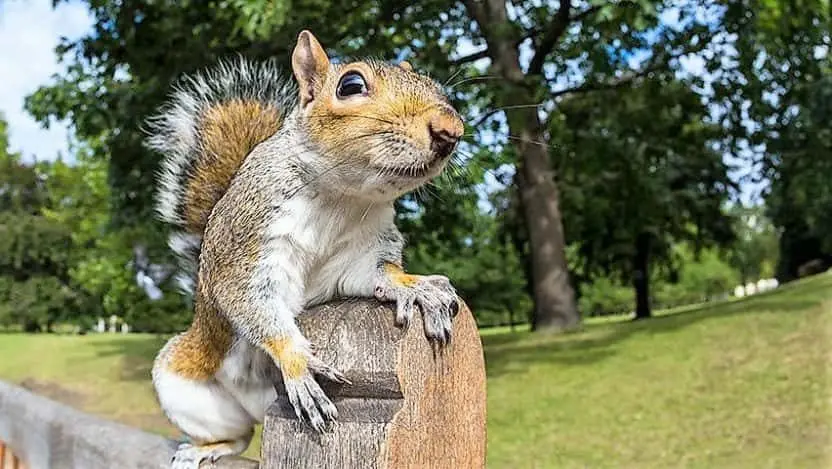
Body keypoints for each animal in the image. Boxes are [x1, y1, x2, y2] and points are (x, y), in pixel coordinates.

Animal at [146, 30, 464, 468]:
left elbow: (376, 275)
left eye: (428, 80)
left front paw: (415, 286)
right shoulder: (248, 247)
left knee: (243, 435)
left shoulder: (365, 250)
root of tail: (257, 404)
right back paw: (206, 448)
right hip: (185, 383)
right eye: (350, 85)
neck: (340, 197)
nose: (451, 129)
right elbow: (253, 304)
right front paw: (299, 364)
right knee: (238, 435)